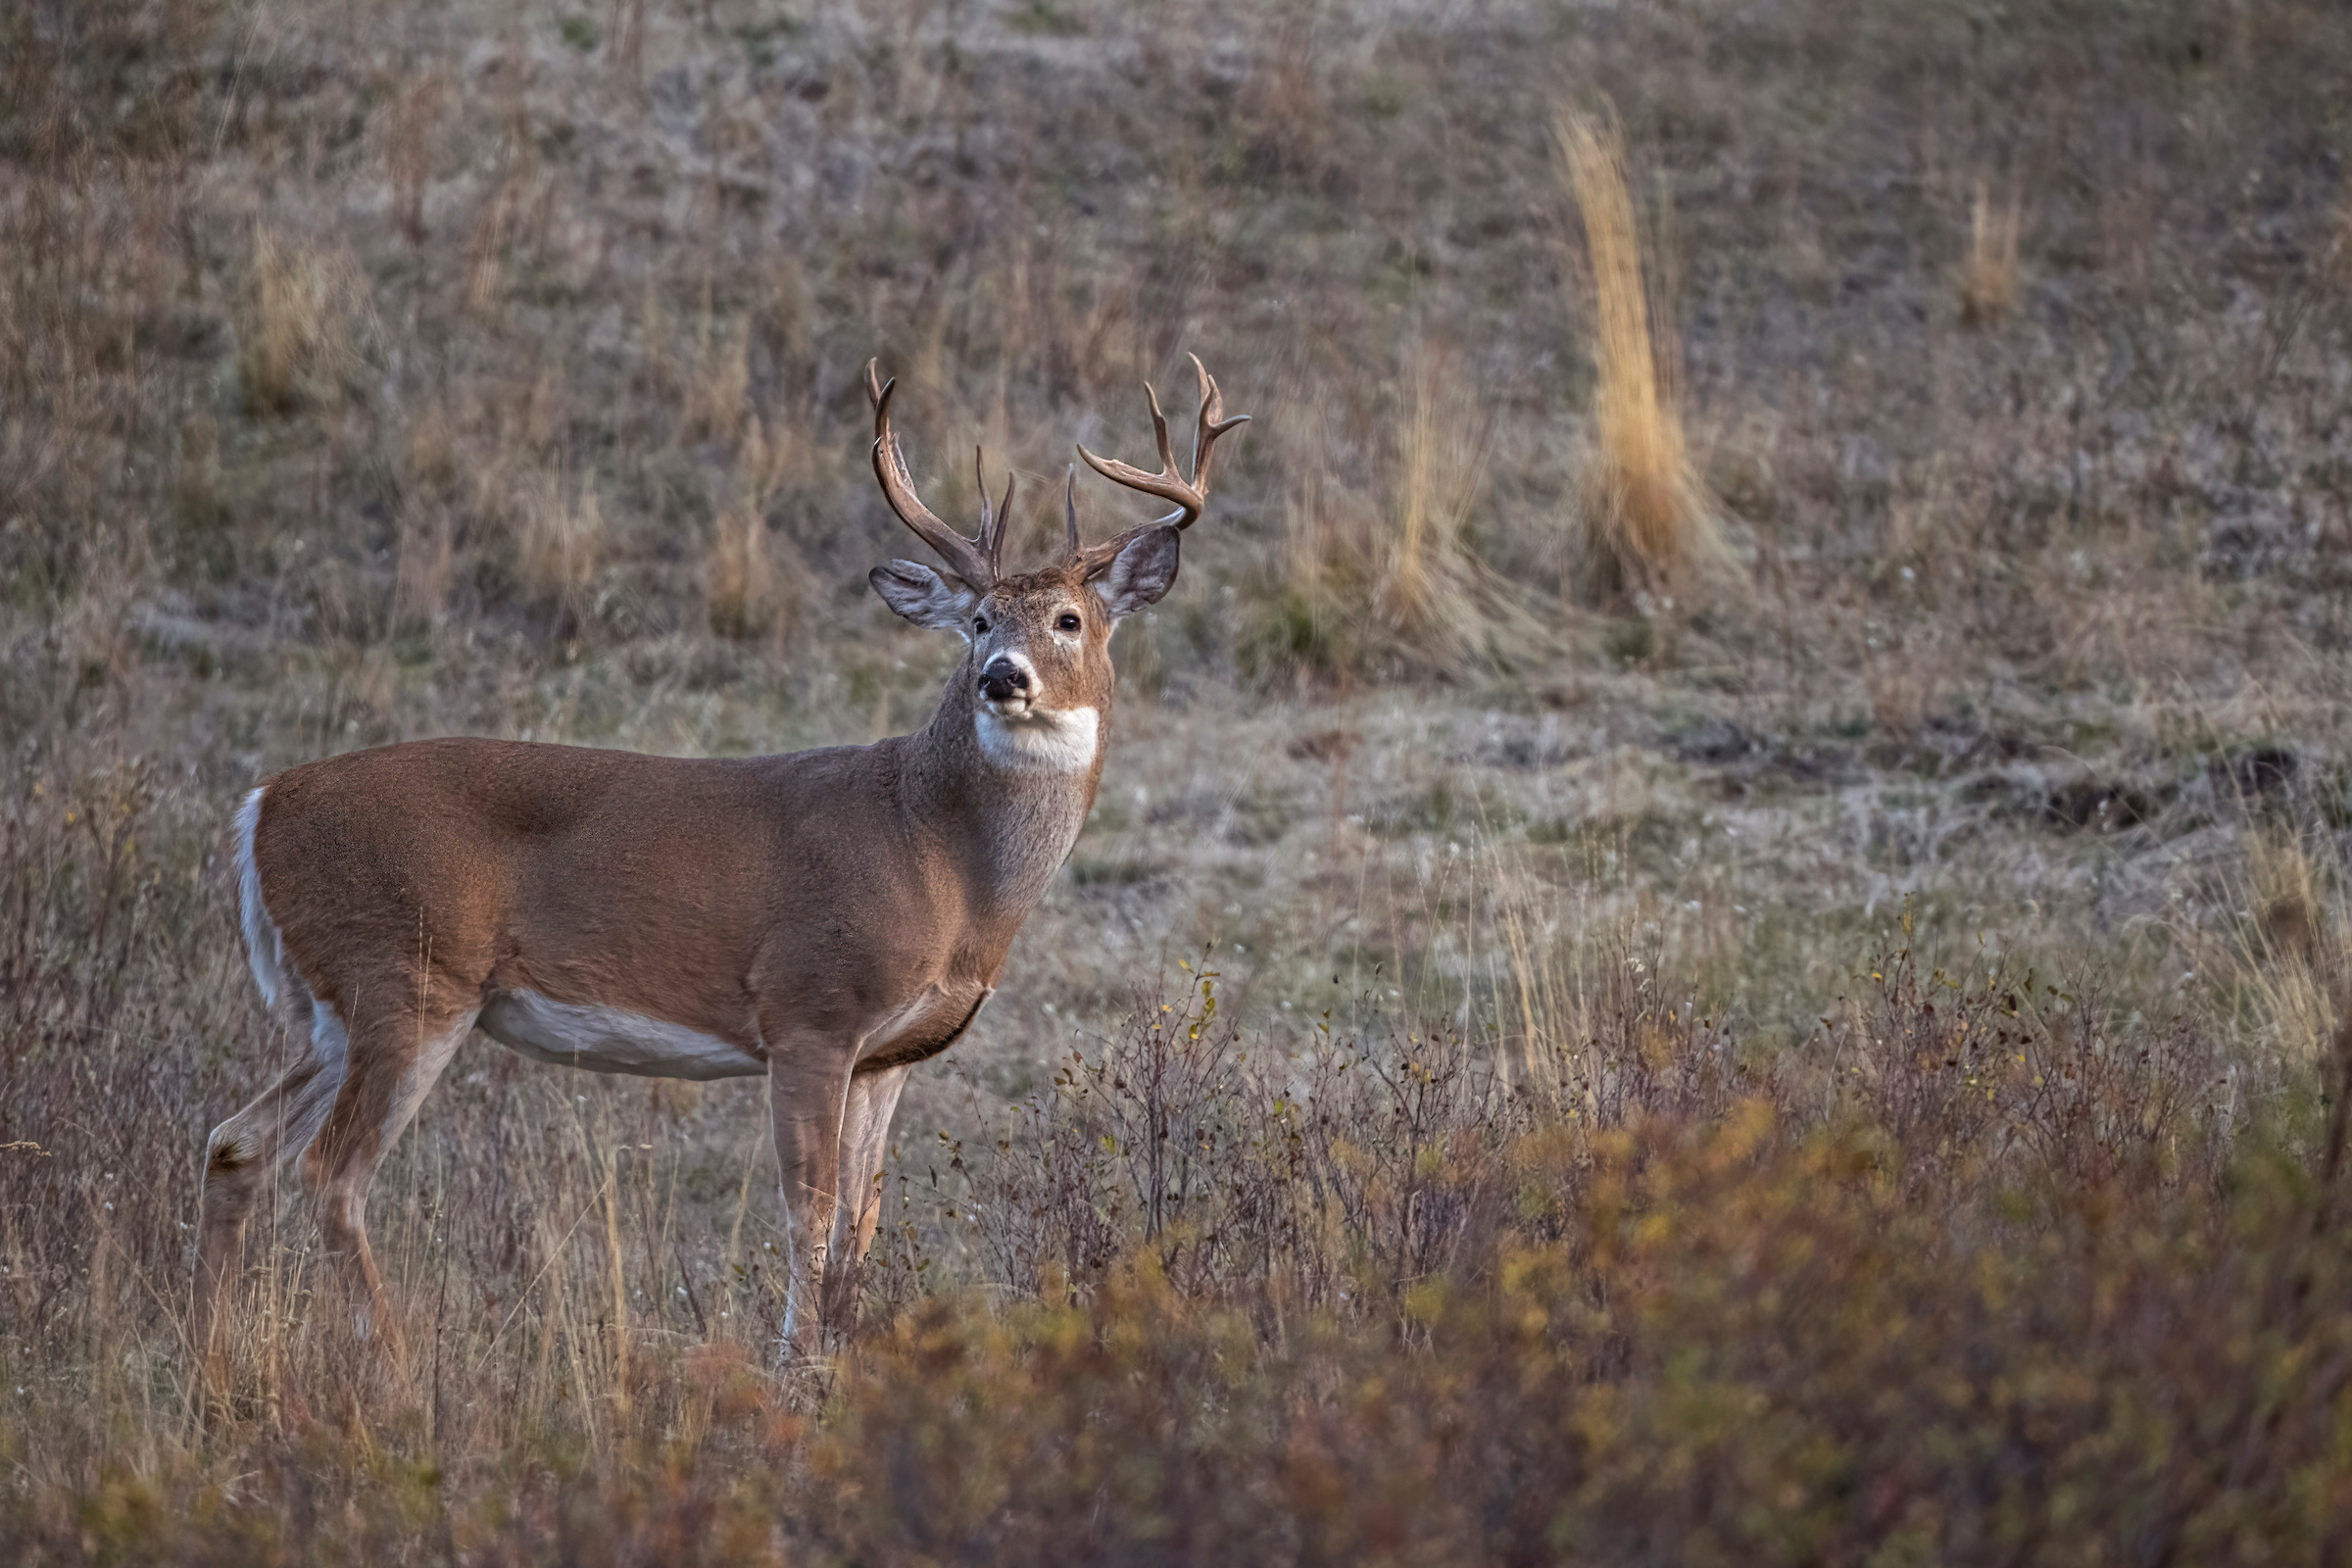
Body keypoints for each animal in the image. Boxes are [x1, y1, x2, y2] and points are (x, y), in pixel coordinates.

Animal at [194, 356, 1248, 1388]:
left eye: (1068, 618)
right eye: (981, 620)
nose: (1002, 677)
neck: (944, 861)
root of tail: (261, 806)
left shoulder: (889, 1053)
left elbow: (861, 1220)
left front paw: (844, 1362)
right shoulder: (810, 1008)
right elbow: (808, 1212)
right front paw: (795, 1371)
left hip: (336, 1004)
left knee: (235, 1142)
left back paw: (214, 1360)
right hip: (408, 974)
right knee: (331, 1173)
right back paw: (400, 1367)